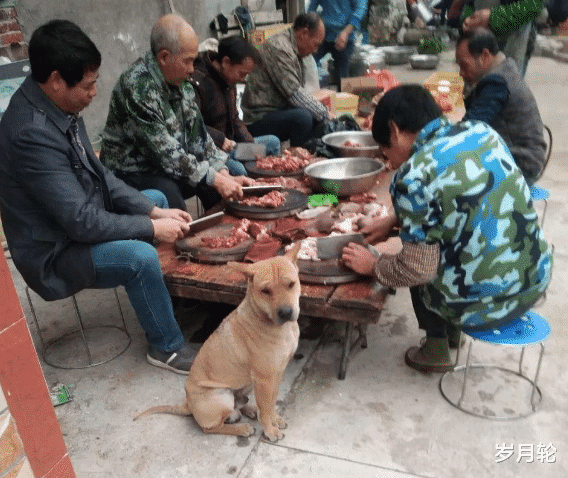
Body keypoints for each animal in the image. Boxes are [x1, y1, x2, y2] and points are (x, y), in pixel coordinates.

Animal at [134, 245, 302, 442]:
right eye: (265, 291)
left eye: (291, 284)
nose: (286, 313)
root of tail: (188, 405)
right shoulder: (264, 379)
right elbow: (266, 407)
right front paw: (270, 430)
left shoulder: (276, 374)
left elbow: (271, 403)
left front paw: (274, 418)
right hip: (222, 396)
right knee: (211, 428)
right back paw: (242, 428)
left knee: (241, 406)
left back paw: (250, 410)